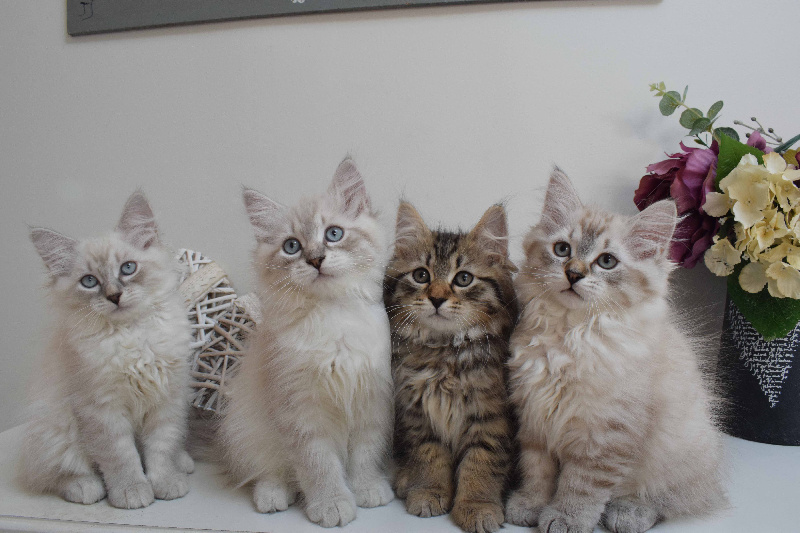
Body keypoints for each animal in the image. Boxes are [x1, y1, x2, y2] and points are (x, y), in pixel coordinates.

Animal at [19, 191, 195, 508]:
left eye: (128, 268)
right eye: (89, 281)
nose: (114, 296)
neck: (133, 336)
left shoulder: (168, 400)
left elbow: (161, 449)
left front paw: (165, 482)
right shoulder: (101, 409)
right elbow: (121, 457)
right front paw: (131, 491)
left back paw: (183, 463)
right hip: (54, 428)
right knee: (54, 474)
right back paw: (86, 487)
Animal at [220, 158, 396, 528]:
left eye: (333, 234)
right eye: (292, 246)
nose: (315, 259)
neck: (333, 319)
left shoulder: (373, 400)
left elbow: (366, 454)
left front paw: (368, 489)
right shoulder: (301, 410)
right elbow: (319, 466)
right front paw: (331, 504)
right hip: (246, 427)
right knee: (268, 472)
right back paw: (273, 496)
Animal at [386, 201, 520, 532]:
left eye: (463, 279)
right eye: (421, 275)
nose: (436, 298)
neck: (444, 354)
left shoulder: (491, 417)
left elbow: (481, 464)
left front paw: (477, 506)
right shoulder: (418, 415)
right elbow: (429, 456)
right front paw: (428, 491)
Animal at [510, 169, 728, 532]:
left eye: (607, 261)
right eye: (562, 249)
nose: (573, 273)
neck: (570, 335)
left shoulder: (605, 434)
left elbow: (580, 486)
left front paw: (564, 518)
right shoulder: (534, 416)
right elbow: (537, 471)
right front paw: (530, 506)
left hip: (676, 453)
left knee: (668, 500)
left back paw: (628, 513)